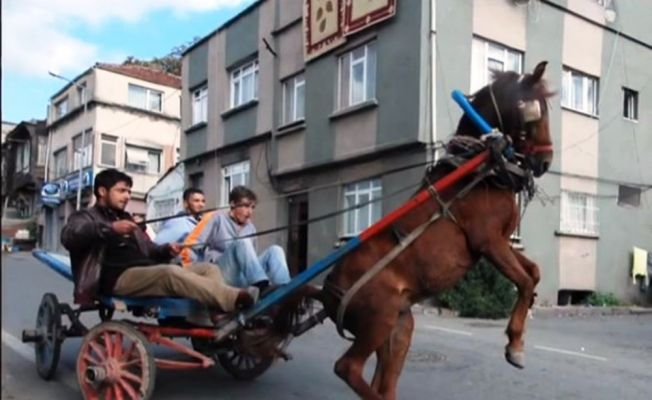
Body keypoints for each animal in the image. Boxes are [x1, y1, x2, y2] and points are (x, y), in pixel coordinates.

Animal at [272, 61, 552, 398]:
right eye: (536, 111)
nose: (546, 161)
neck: (474, 172)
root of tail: (326, 291)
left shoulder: (501, 242)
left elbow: (534, 272)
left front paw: (518, 338)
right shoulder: (488, 242)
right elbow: (524, 281)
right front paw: (514, 346)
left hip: (398, 327)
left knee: (383, 382)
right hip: (379, 319)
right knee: (347, 368)